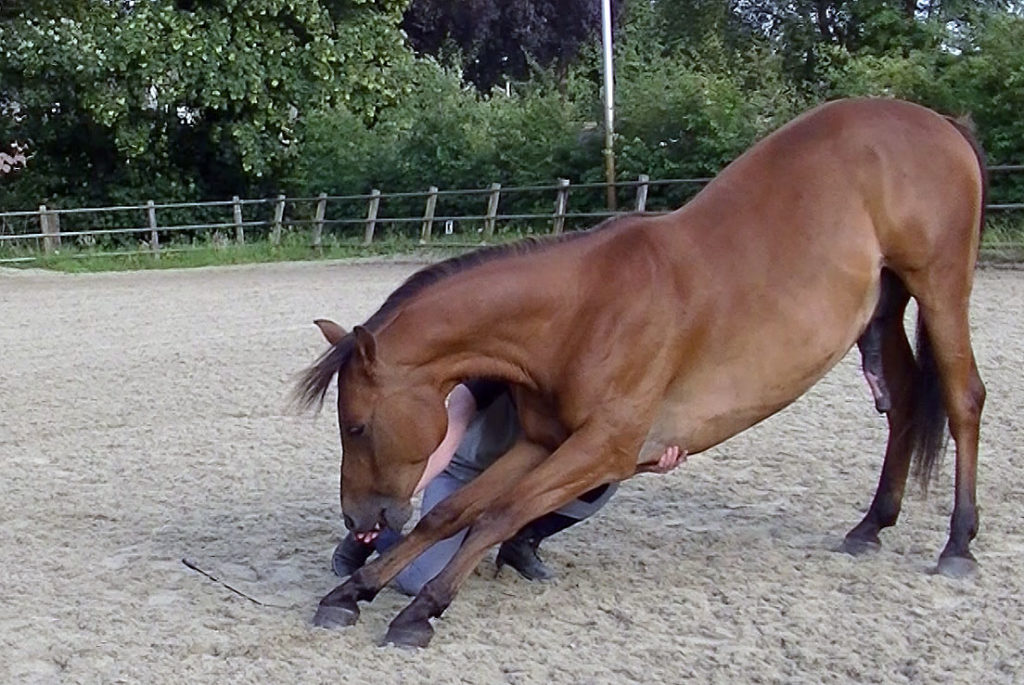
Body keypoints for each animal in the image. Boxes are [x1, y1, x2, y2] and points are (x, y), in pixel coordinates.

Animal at [294, 97, 983, 647]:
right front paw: (352, 592)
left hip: (939, 287)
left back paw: (958, 544)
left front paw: (421, 611)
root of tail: (939, 121)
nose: (358, 521)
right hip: (885, 306)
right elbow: (452, 513)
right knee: (902, 407)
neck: (583, 312)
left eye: (356, 427)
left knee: (963, 398)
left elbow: (496, 516)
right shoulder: (542, 443)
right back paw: (871, 527)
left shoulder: (606, 448)